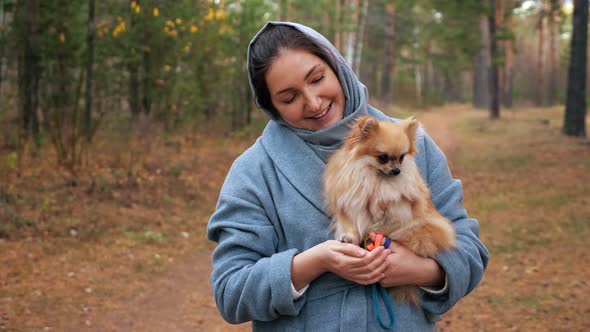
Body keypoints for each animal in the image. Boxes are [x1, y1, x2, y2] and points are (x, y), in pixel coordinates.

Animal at [324, 115, 458, 304]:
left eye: (401, 157)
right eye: (382, 158)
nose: (396, 171)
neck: (375, 178)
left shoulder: (405, 204)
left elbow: (389, 199)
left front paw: (379, 205)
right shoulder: (346, 205)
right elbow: (348, 223)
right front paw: (348, 237)